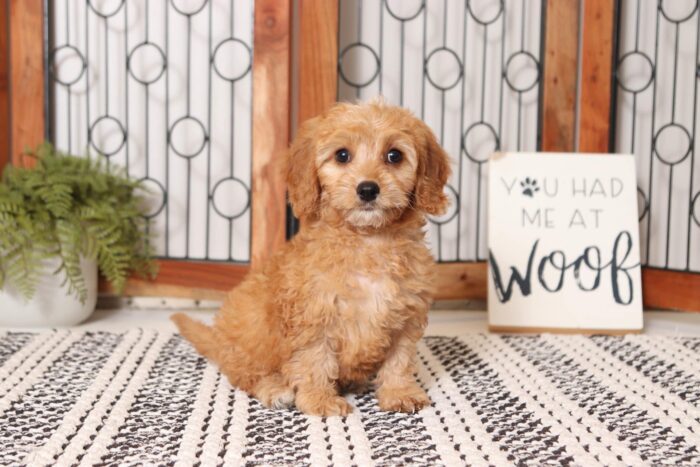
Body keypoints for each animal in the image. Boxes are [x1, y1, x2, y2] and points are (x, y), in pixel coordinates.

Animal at [172, 99, 452, 416]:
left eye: (394, 155)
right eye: (342, 155)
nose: (368, 189)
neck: (368, 239)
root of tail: (218, 342)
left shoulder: (407, 315)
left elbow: (399, 359)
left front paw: (400, 392)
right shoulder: (313, 316)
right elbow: (315, 359)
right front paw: (321, 400)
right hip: (249, 335)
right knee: (247, 374)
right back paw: (275, 389)